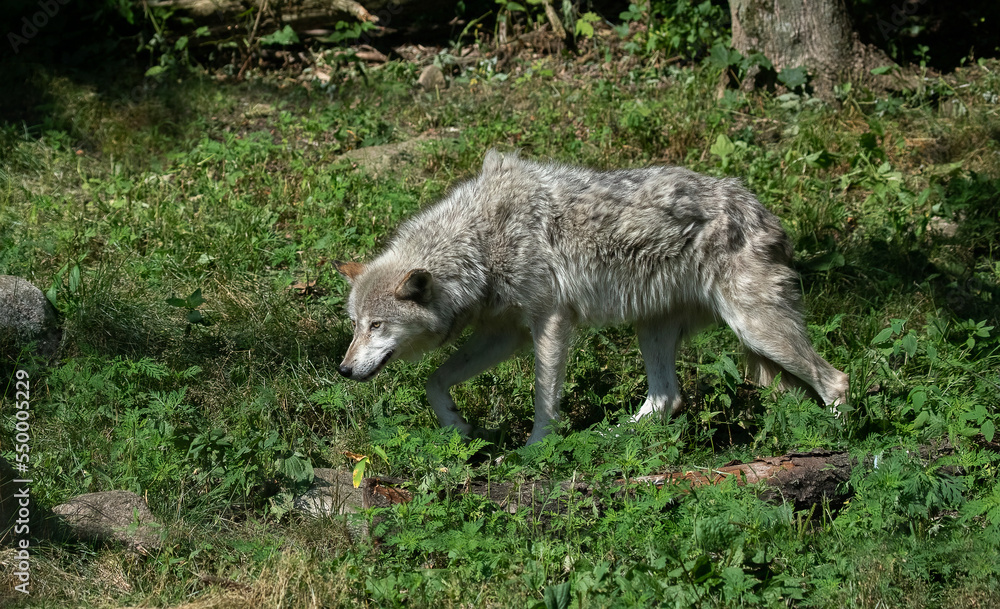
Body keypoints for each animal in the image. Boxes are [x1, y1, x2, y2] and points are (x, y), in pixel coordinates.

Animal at [336, 150, 849, 445]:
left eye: (377, 326)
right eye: (356, 326)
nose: (342, 369)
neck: (479, 242)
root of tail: (766, 213)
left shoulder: (549, 321)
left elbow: (544, 398)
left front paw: (537, 450)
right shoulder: (506, 335)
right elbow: (434, 382)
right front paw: (458, 427)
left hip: (756, 330)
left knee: (837, 380)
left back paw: (844, 442)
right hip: (653, 329)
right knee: (667, 398)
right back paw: (603, 438)